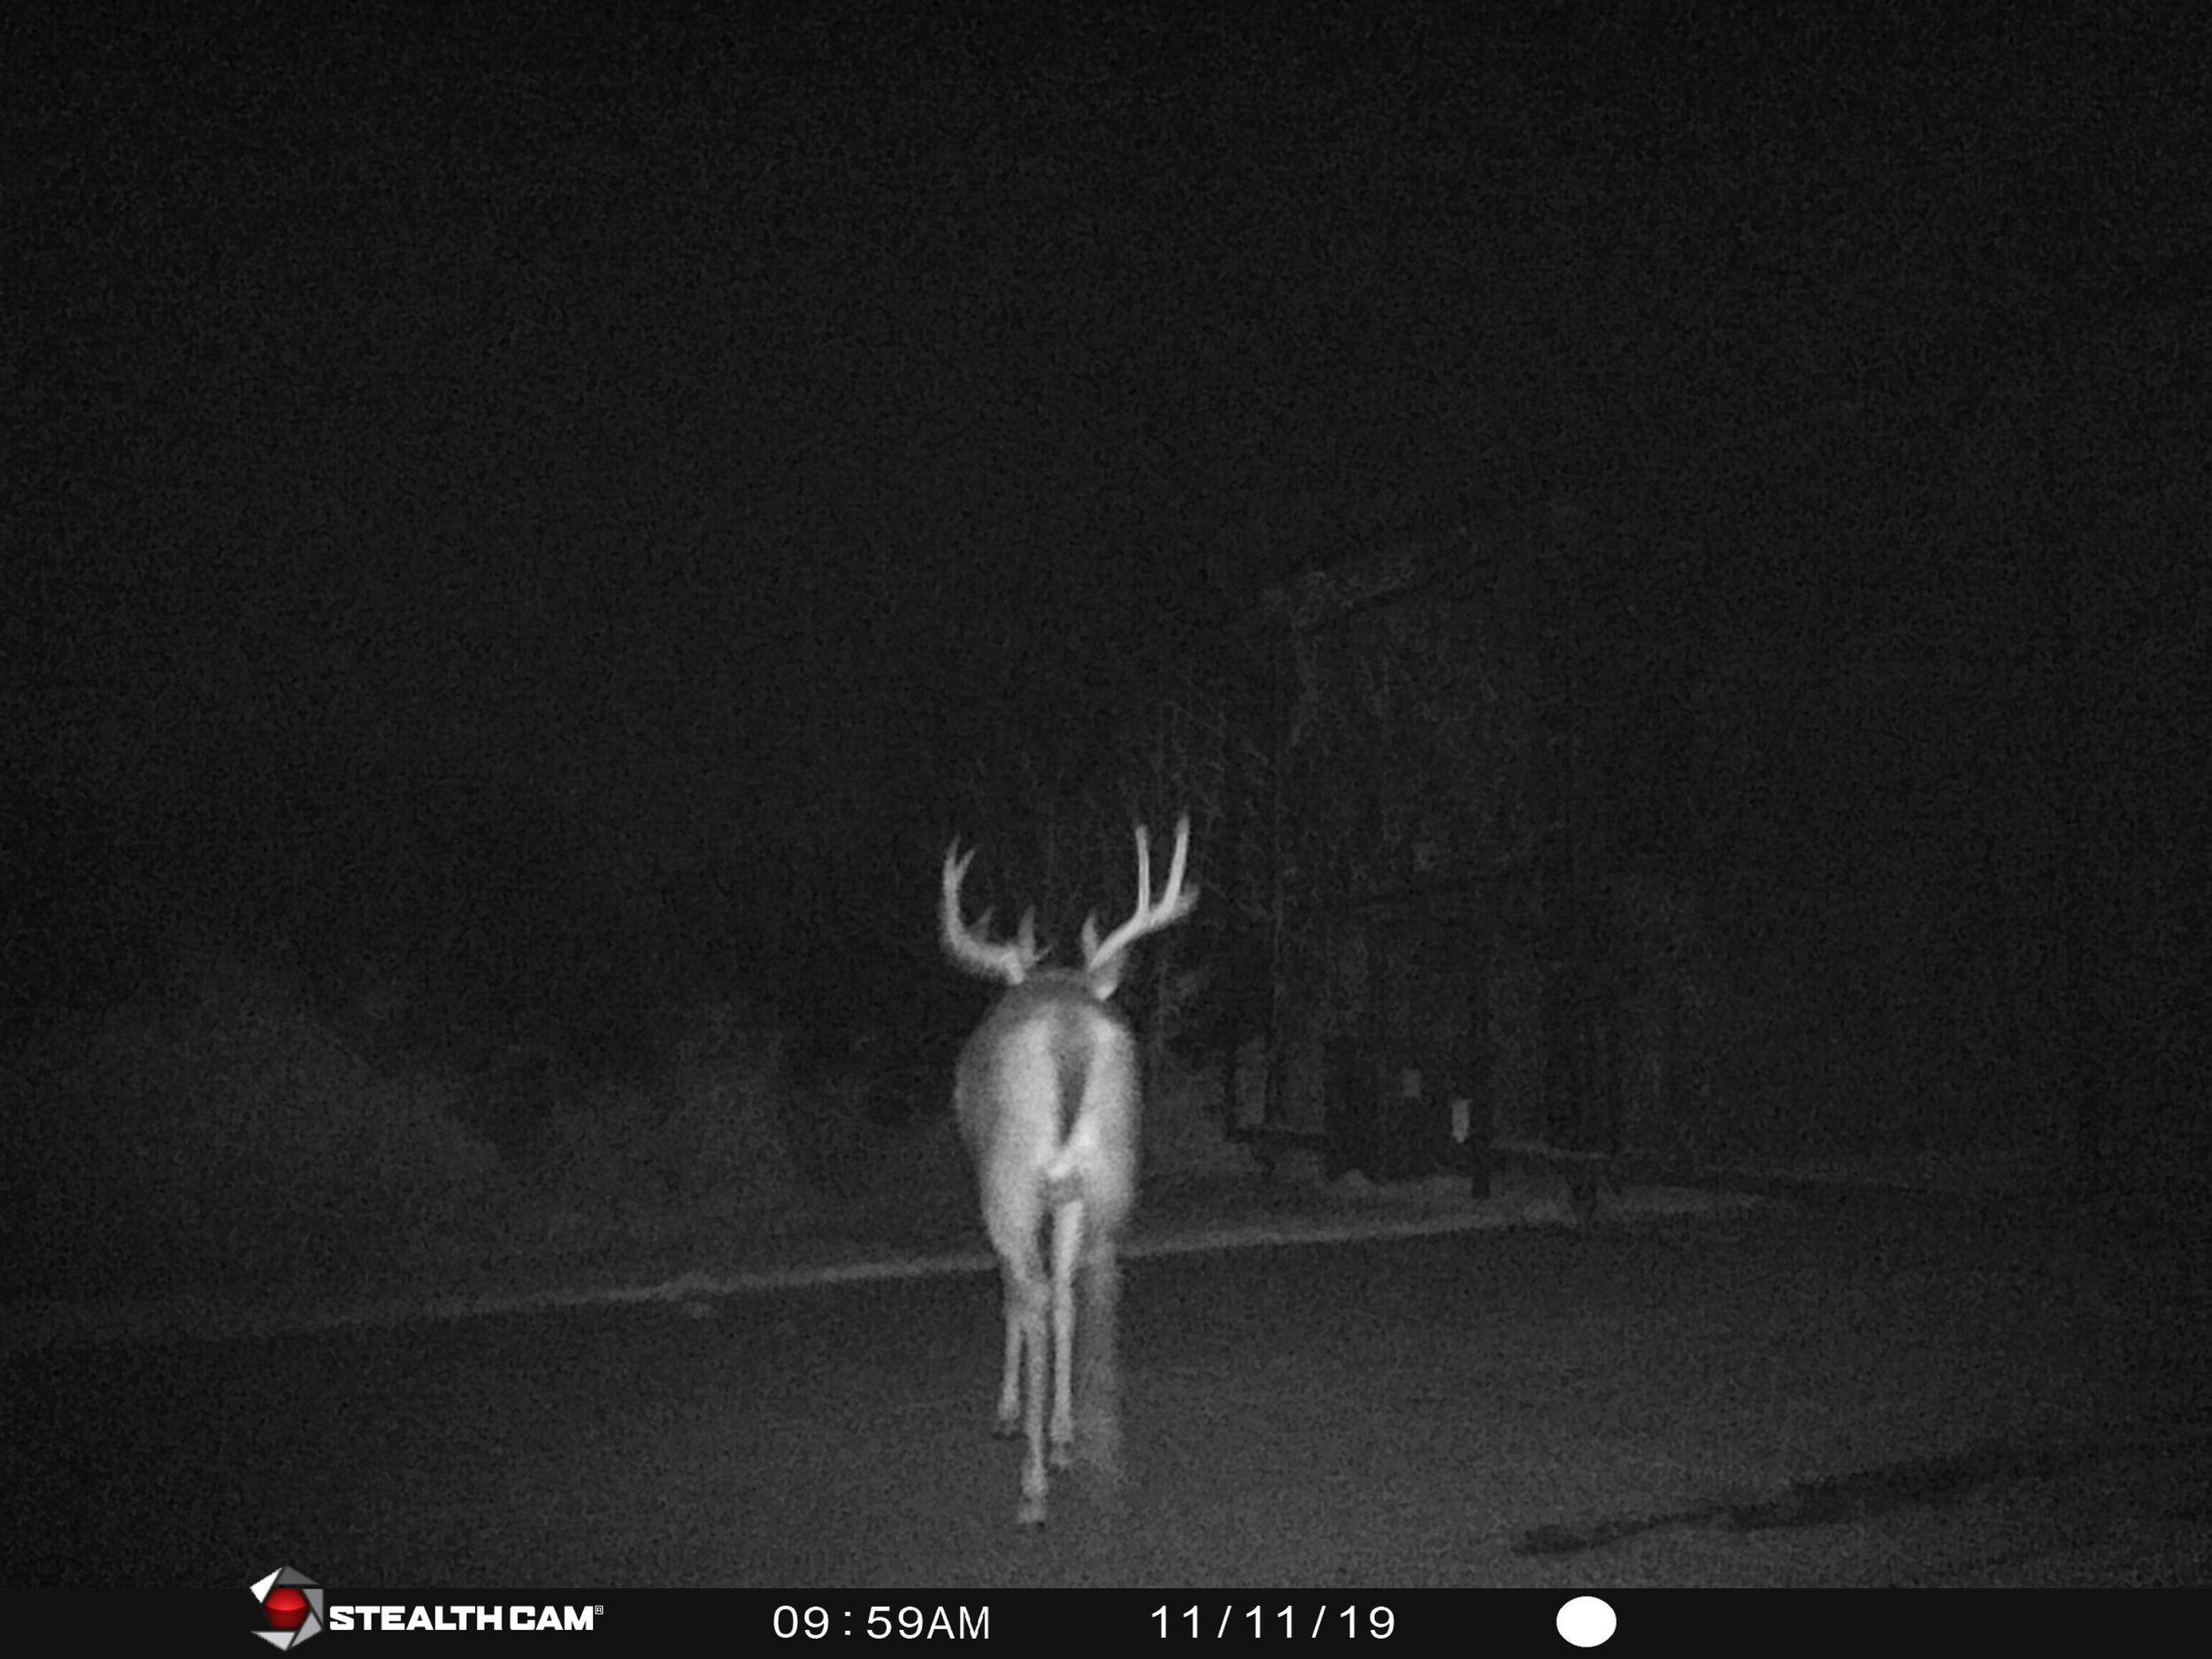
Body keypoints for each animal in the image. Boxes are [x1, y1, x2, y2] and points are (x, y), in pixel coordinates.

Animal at [940, 816, 1196, 1526]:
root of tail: (1068, 1032)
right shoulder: (1070, 1194)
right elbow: (1062, 1297)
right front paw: (1061, 1431)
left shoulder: (1010, 1192)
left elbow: (1018, 1297)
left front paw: (1010, 1416)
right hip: (1110, 1170)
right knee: (1095, 1286)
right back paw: (1091, 1453)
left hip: (1011, 1178)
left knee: (1029, 1295)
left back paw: (1033, 1486)